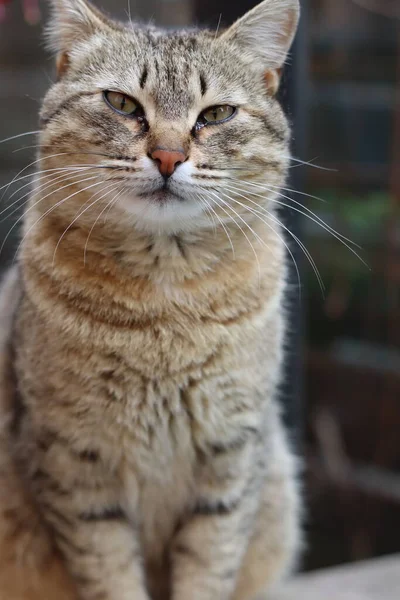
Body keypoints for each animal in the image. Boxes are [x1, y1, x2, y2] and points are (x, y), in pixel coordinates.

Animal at [0, 0, 300, 596]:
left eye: (216, 114)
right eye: (122, 103)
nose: (166, 155)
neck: (165, 310)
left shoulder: (233, 456)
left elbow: (210, 565)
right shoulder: (73, 461)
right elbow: (109, 570)